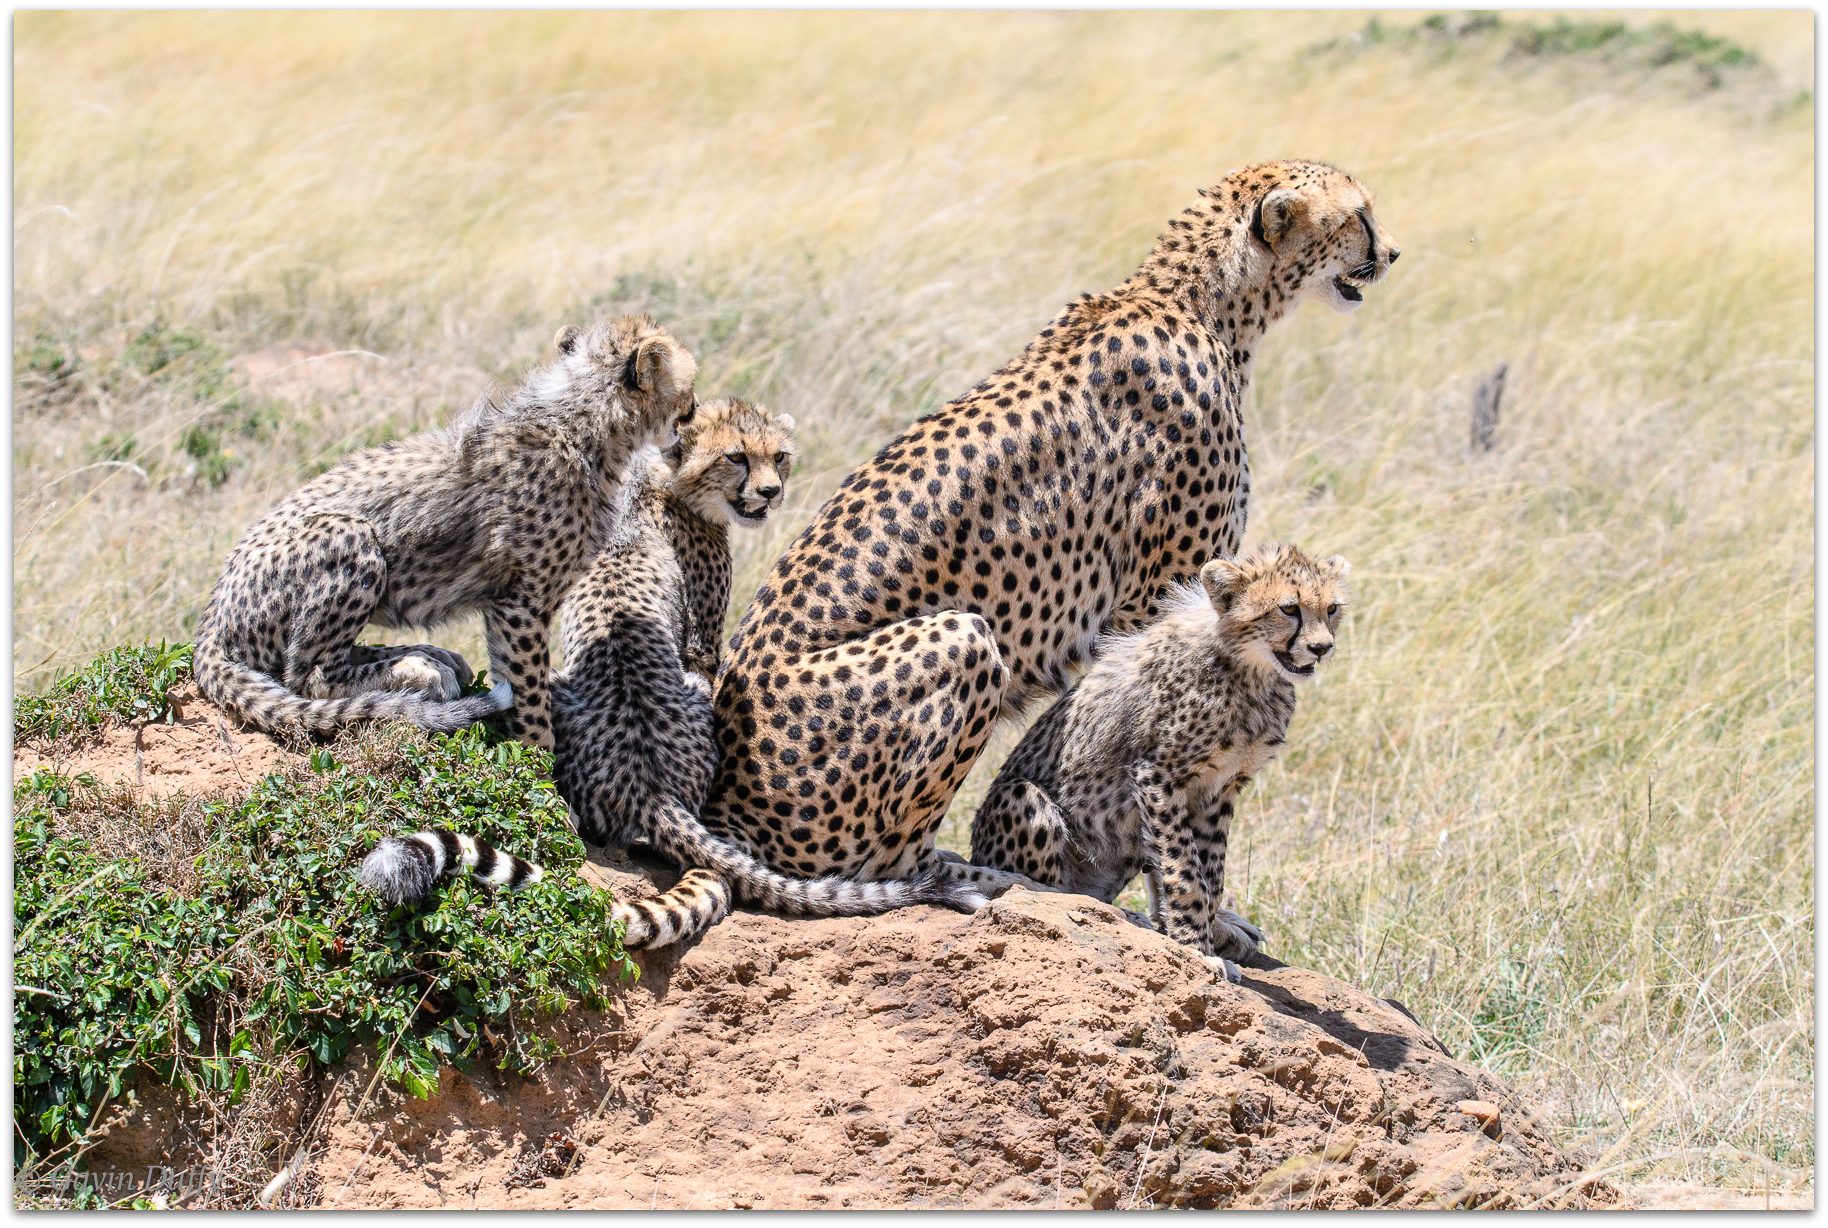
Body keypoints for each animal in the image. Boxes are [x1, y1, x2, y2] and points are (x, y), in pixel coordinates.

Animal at [698, 158, 1396, 895]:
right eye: (1360, 215)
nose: (1393, 254)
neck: (1204, 302)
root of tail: (722, 799)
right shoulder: (1159, 600)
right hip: (963, 640)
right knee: (888, 862)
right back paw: (979, 877)